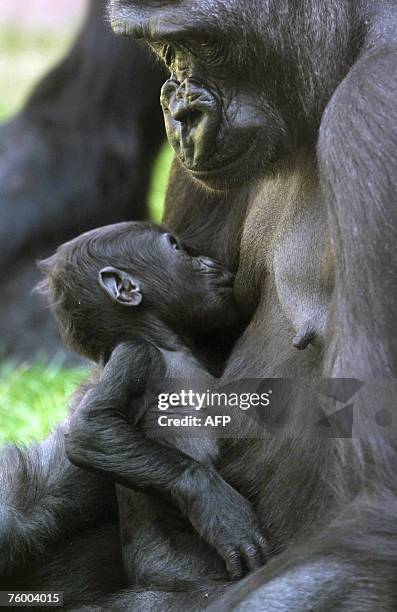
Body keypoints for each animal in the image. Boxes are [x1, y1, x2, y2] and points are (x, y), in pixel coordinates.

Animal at [38, 221, 268, 588]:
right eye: (176, 249)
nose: (207, 260)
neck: (166, 342)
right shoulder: (137, 355)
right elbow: (91, 429)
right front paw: (212, 501)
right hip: (175, 571)